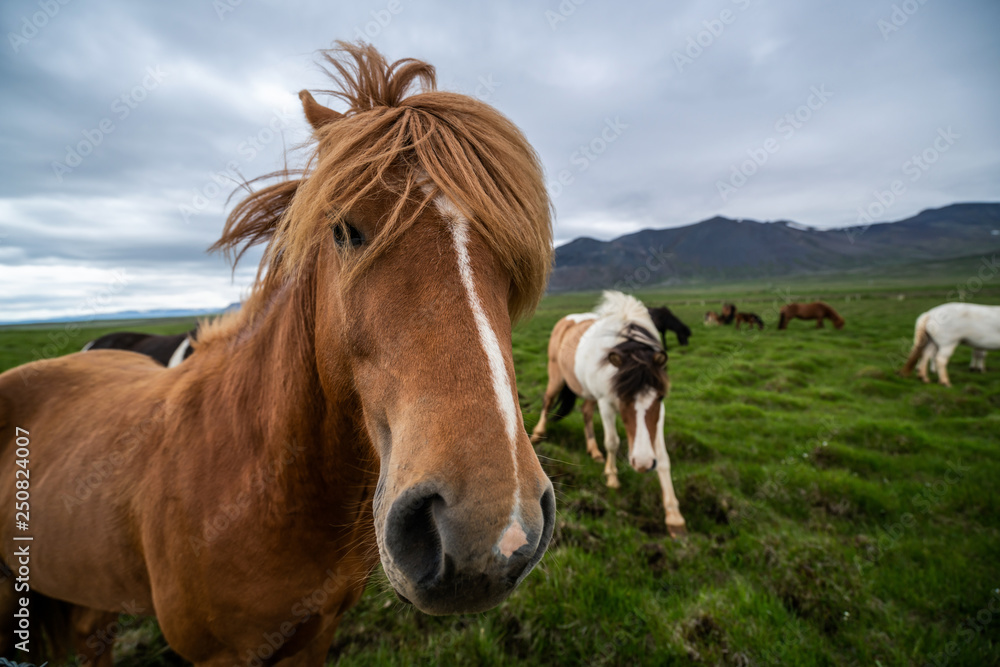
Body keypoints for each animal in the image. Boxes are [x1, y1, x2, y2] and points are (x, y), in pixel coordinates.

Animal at [532, 290, 688, 536]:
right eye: (622, 397)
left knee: (586, 412)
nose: (643, 464)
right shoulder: (606, 403)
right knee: (547, 402)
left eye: (660, 397)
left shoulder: (659, 412)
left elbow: (663, 457)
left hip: (586, 391)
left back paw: (594, 450)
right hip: (556, 376)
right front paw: (612, 477)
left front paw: (674, 516)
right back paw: (538, 434)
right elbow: (613, 442)